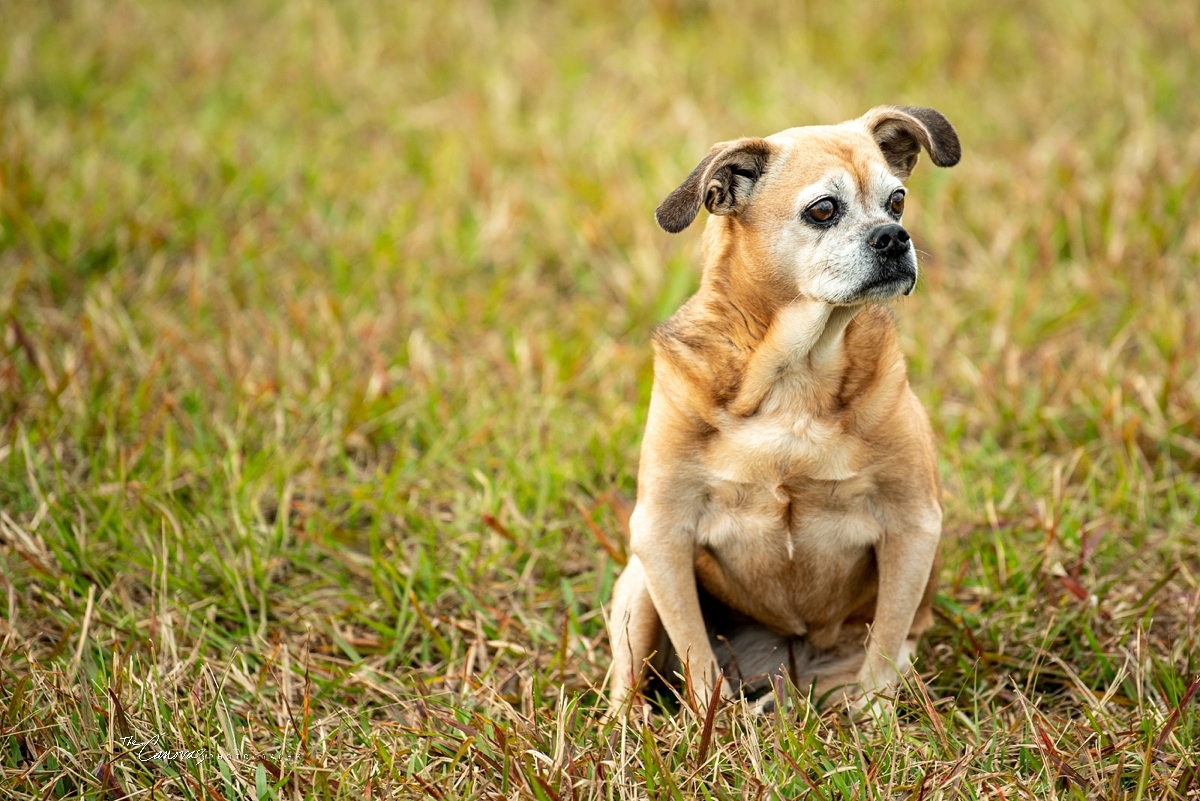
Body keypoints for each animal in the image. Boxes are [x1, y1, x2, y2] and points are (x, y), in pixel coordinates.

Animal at [604, 104, 960, 714]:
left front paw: (875, 721)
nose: (895, 236)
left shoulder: (912, 525)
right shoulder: (662, 532)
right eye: (823, 210)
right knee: (627, 687)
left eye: (897, 200)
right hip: (636, 589)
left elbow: (885, 649)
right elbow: (697, 650)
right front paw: (713, 725)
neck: (796, 373)